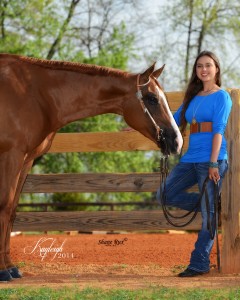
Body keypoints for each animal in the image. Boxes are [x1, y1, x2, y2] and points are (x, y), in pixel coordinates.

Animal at [0, 52, 182, 280]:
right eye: (152, 98)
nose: (177, 141)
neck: (33, 93)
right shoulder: (11, 156)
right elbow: (5, 207)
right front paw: (3, 270)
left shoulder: (25, 160)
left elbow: (12, 210)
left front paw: (10, 267)